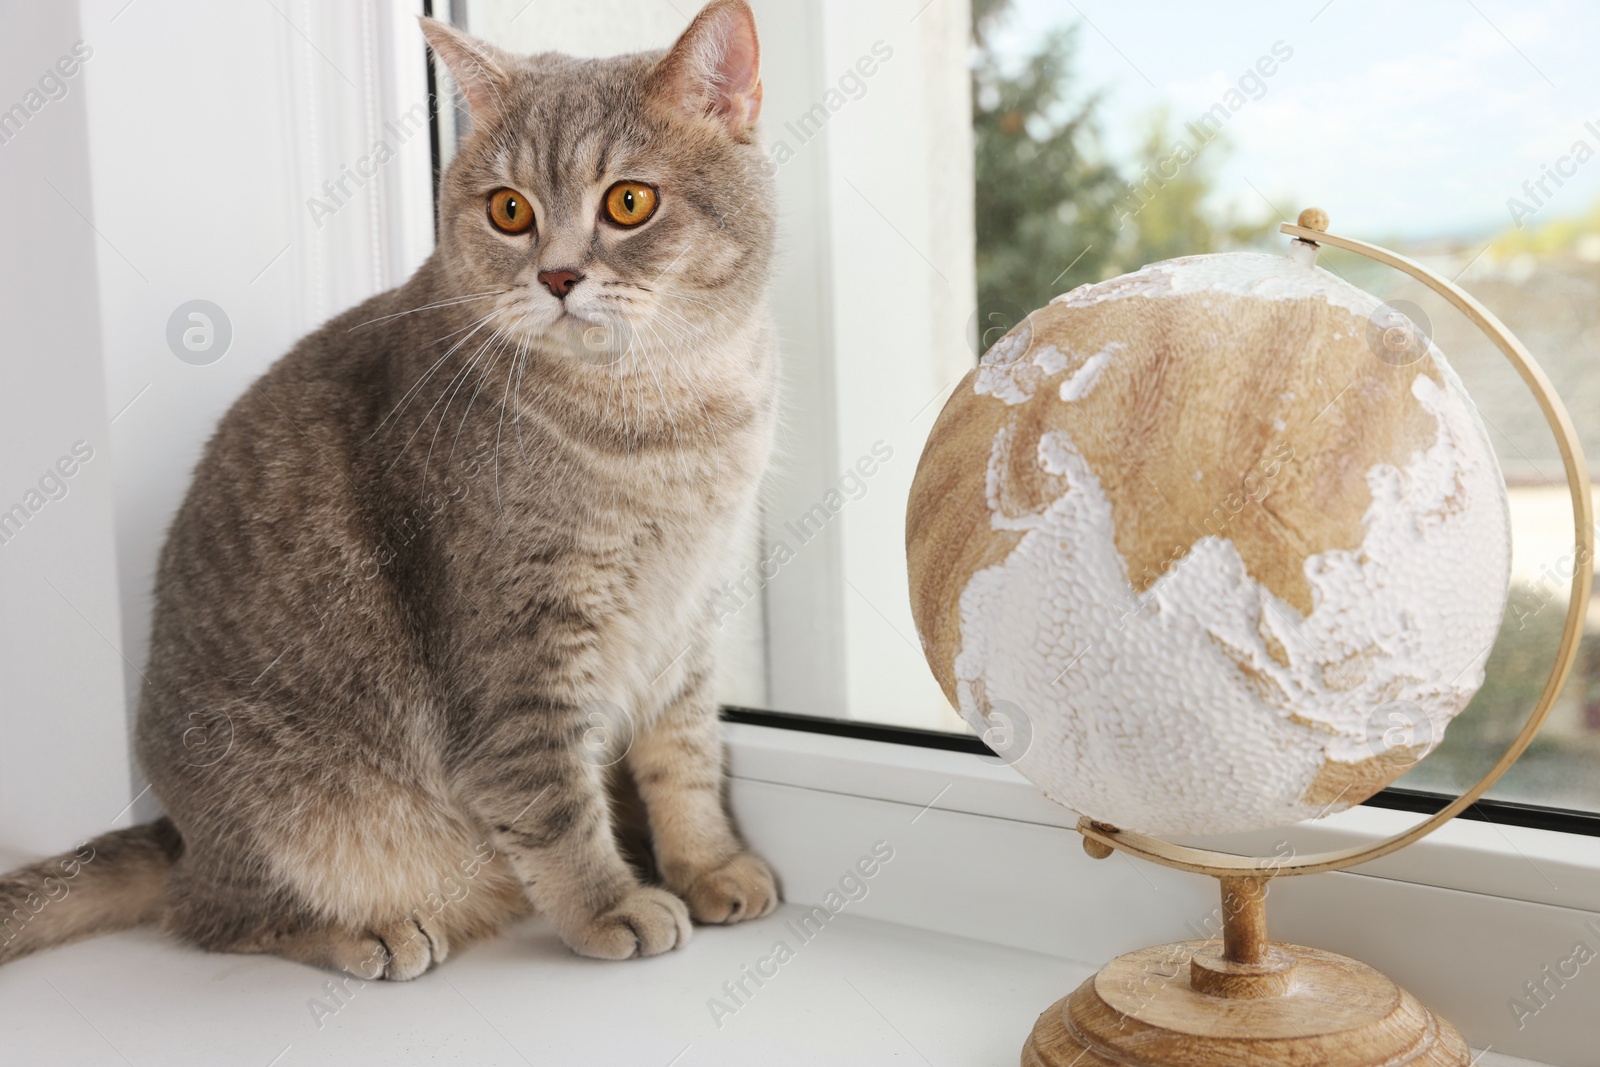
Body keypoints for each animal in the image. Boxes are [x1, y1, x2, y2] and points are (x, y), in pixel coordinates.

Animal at [0, 0, 780, 979]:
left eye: (629, 201)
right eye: (510, 210)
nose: (558, 276)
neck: (668, 415)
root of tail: (181, 834)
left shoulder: (691, 618)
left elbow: (686, 756)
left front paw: (709, 864)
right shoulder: (516, 653)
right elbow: (554, 801)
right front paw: (610, 905)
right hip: (278, 817)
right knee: (211, 914)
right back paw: (366, 928)